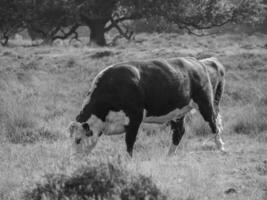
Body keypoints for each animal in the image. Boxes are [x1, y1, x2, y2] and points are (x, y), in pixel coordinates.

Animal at [68, 56, 225, 156]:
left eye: (78, 139)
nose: (73, 159)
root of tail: (199, 62)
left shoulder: (134, 120)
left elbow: (129, 144)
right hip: (178, 112)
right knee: (179, 132)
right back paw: (169, 155)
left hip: (205, 103)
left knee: (214, 124)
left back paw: (221, 148)